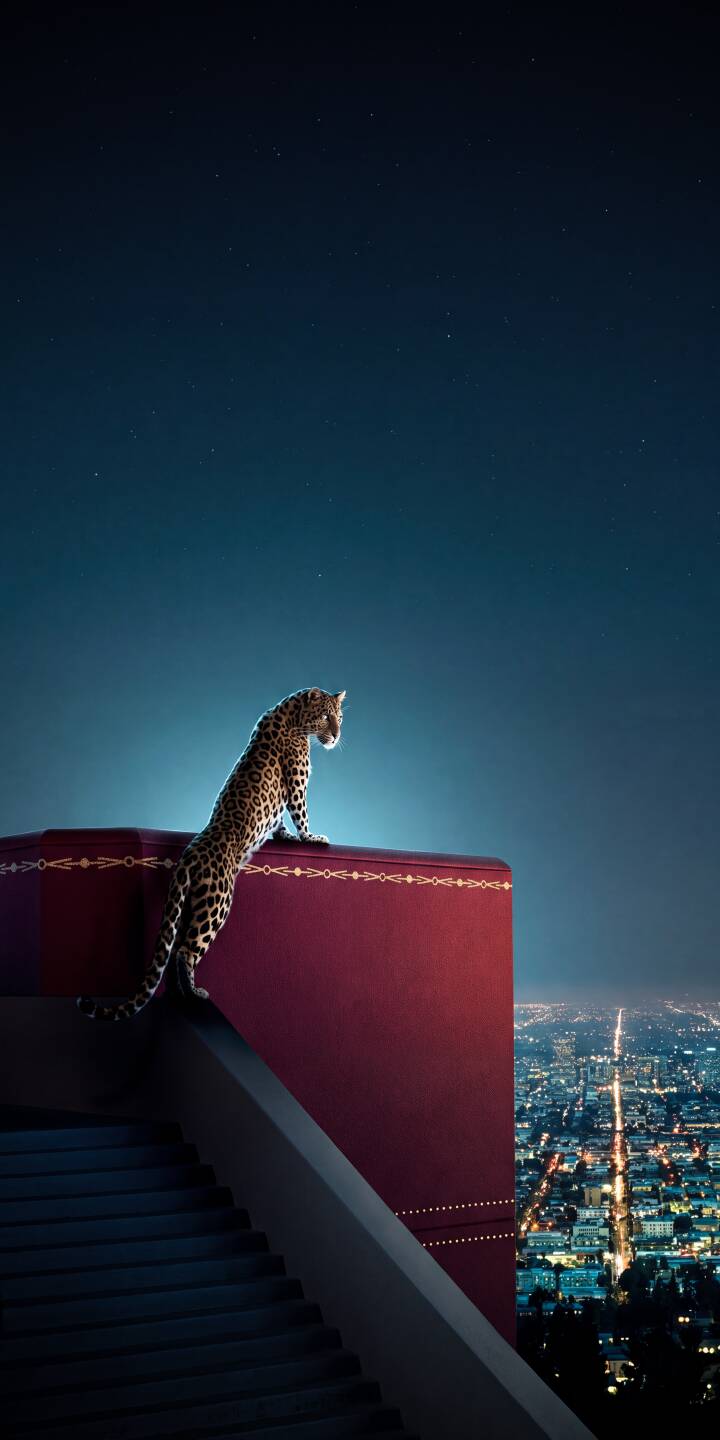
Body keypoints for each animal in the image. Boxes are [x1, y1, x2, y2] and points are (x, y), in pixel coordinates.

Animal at [77, 687, 345, 1020]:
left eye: (340, 717)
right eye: (325, 716)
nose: (337, 735)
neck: (291, 711)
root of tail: (190, 855)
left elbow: (280, 819)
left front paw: (283, 834)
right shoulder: (296, 782)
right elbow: (300, 813)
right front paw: (312, 838)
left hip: (190, 902)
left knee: (176, 946)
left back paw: (180, 994)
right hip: (216, 903)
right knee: (185, 950)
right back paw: (195, 994)